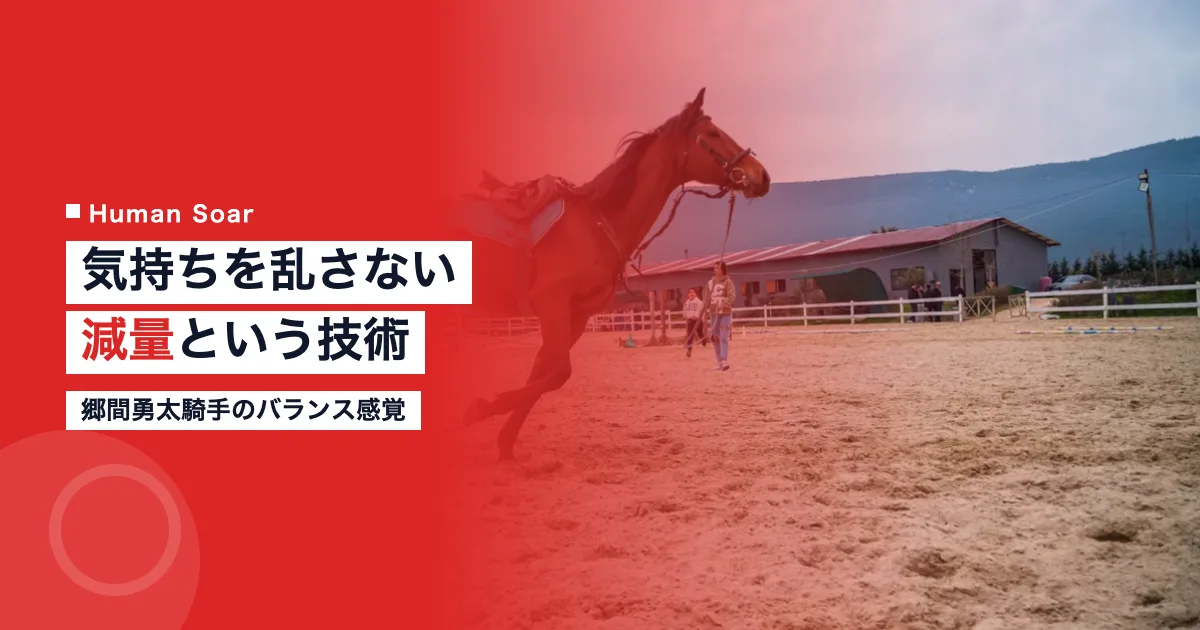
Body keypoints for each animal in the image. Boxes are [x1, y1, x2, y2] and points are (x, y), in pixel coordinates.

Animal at [459, 87, 771, 461]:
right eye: (712, 134)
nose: (762, 175)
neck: (596, 224)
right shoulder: (552, 303)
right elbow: (557, 371)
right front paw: (477, 409)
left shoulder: (576, 316)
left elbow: (546, 371)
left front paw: (504, 439)